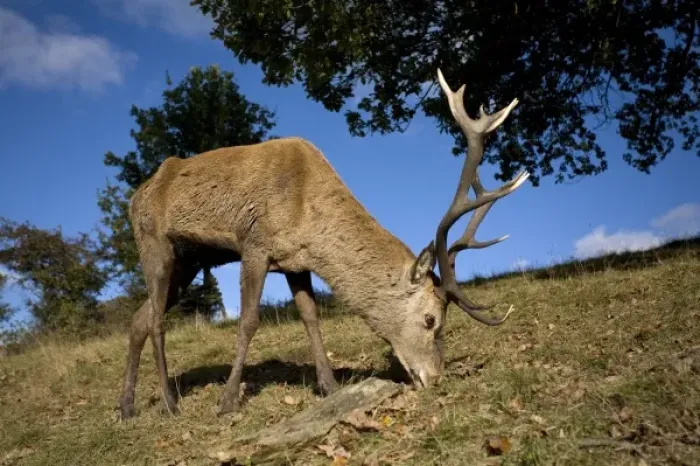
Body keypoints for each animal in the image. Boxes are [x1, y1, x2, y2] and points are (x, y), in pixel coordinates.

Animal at [118, 68, 529, 419]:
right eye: (431, 320)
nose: (435, 377)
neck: (306, 213)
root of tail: (134, 197)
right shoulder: (255, 244)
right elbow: (249, 320)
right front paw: (229, 401)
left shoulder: (294, 262)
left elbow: (311, 317)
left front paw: (330, 386)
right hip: (154, 242)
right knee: (156, 320)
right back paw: (170, 402)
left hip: (188, 260)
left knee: (139, 319)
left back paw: (127, 407)